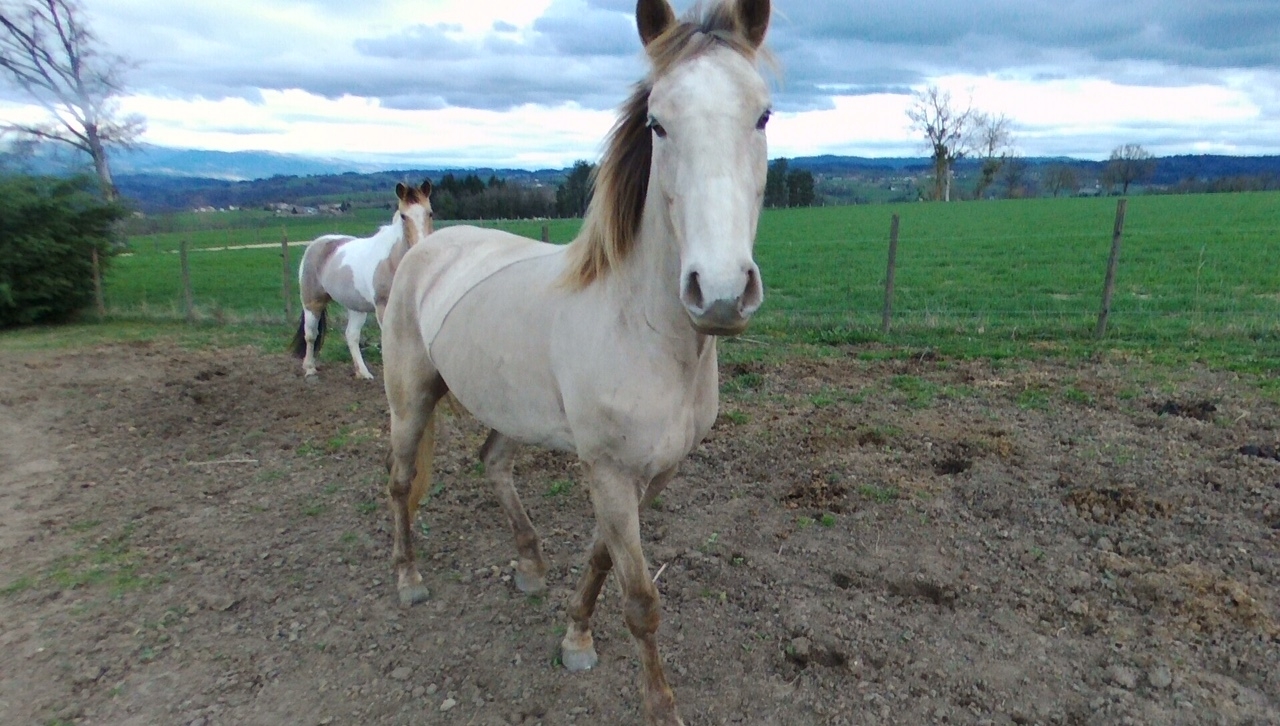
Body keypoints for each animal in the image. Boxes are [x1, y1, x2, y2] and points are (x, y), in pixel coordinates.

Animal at [289, 180, 434, 379]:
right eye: (404, 216)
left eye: (430, 213)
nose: (421, 249)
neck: (392, 260)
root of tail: (316, 244)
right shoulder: (383, 307)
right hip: (312, 302)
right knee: (310, 334)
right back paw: (310, 369)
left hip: (356, 307)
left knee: (351, 336)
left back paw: (363, 373)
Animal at [379, 1, 771, 723]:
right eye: (657, 123)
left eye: (762, 114)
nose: (721, 292)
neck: (642, 329)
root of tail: (424, 250)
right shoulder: (609, 470)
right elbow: (641, 599)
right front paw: (660, 705)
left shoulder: (650, 473)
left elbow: (600, 561)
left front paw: (576, 637)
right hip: (409, 401)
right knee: (398, 484)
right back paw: (410, 579)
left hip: (511, 409)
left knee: (492, 462)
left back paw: (530, 567)